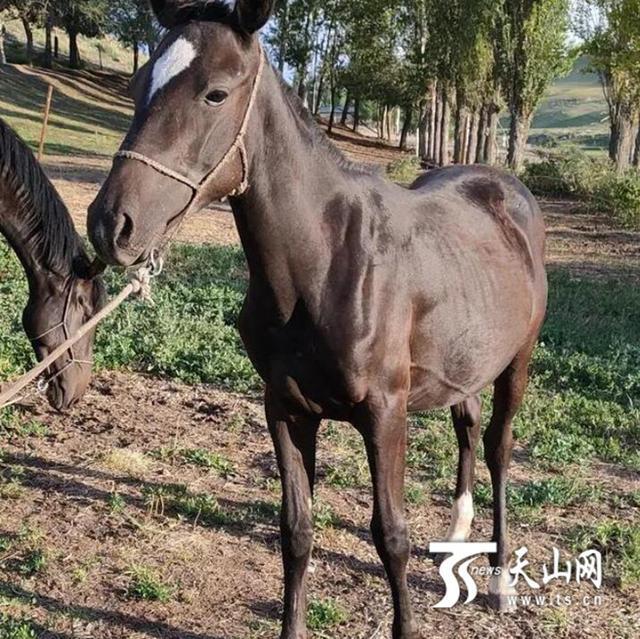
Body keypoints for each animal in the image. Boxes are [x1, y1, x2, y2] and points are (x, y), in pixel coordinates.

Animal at [87, 1, 548, 636]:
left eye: (215, 93)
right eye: (137, 84)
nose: (111, 225)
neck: (327, 263)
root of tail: (506, 189)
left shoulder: (384, 414)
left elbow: (391, 536)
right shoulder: (285, 408)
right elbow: (296, 530)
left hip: (517, 362)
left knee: (500, 447)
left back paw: (501, 580)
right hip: (465, 359)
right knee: (469, 426)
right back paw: (457, 536)